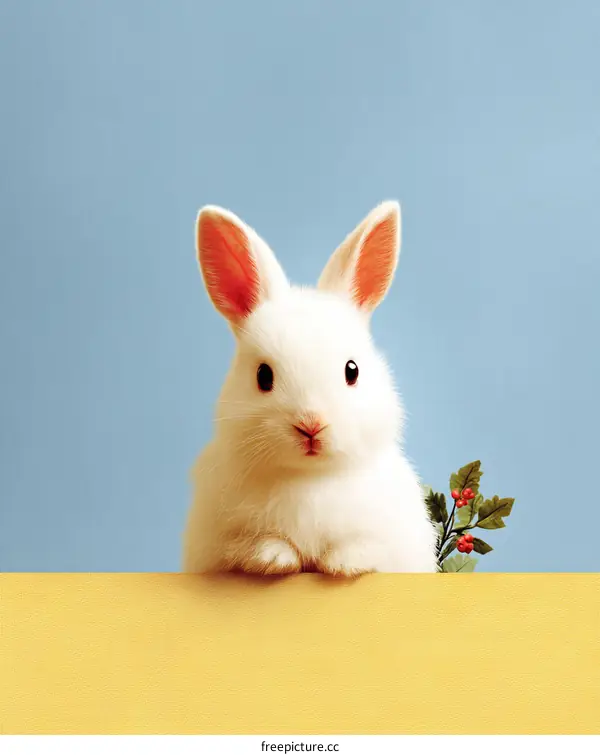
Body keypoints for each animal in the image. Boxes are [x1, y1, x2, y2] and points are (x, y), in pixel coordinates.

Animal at [182, 201, 438, 576]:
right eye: (263, 376)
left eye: (352, 370)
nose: (311, 425)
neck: (308, 478)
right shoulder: (218, 546)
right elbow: (247, 547)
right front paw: (276, 558)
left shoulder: (392, 542)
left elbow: (366, 548)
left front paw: (342, 563)